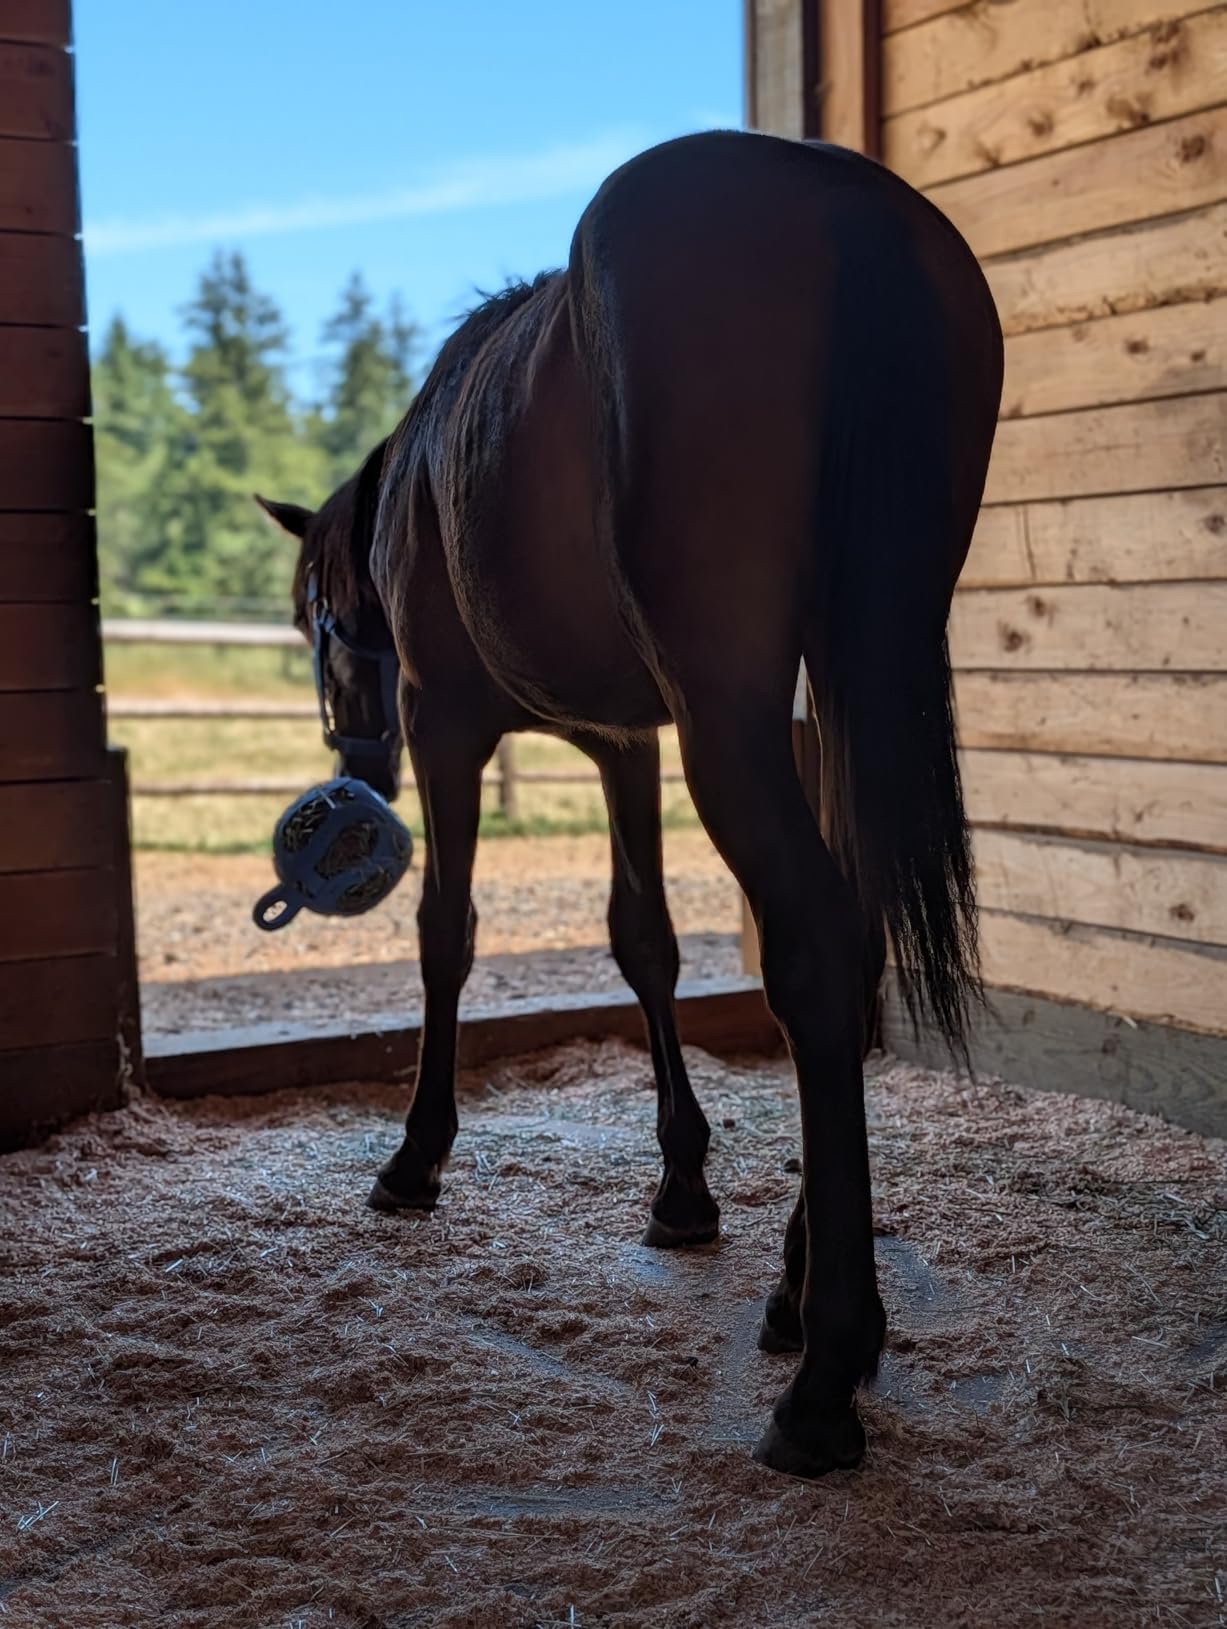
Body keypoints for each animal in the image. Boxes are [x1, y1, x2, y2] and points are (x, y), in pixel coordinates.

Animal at [256, 129, 1003, 1479]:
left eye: (314, 618)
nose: (353, 769)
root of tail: (842, 203)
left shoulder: (450, 729)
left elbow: (447, 936)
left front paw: (415, 1156)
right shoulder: (622, 744)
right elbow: (643, 942)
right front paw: (683, 1193)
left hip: (734, 713)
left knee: (819, 950)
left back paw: (825, 1371)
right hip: (848, 677)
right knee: (855, 937)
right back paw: (799, 1295)